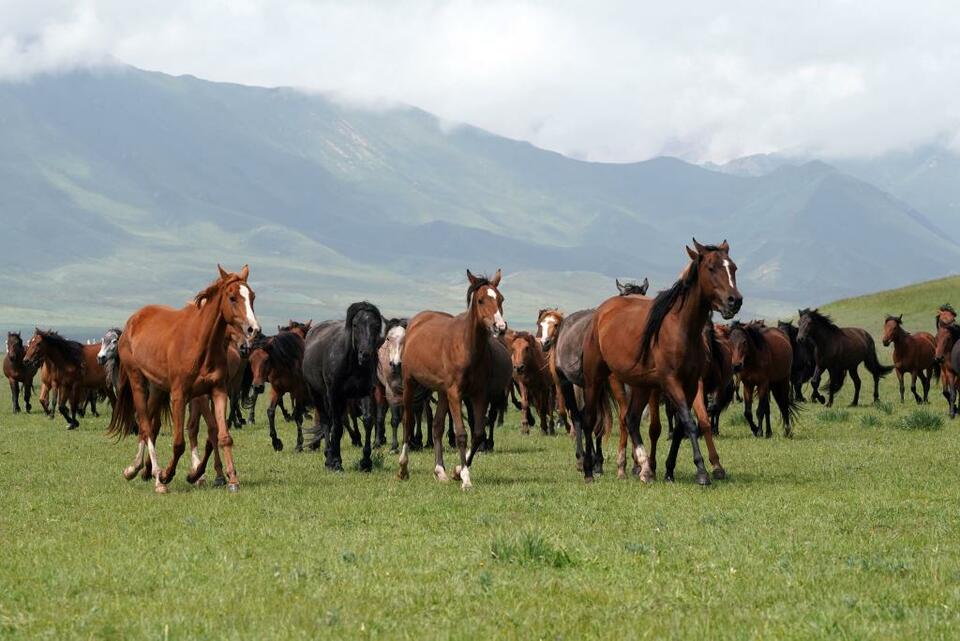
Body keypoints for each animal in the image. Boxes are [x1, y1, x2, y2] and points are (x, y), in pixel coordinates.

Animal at [106, 262, 258, 492]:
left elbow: (222, 435)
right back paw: (154, 477)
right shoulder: (180, 395)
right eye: (232, 297)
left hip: (158, 388)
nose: (253, 330)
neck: (200, 343)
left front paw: (231, 479)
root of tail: (132, 321)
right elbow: (179, 443)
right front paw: (168, 475)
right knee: (145, 425)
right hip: (138, 381)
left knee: (150, 426)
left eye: (252, 297)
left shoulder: (217, 391)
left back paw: (137, 469)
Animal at [306, 300, 384, 470]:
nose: (365, 355)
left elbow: (368, 421)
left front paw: (366, 461)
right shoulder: (334, 394)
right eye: (355, 324)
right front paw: (335, 462)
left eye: (375, 325)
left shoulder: (365, 392)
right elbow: (337, 426)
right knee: (326, 422)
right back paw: (329, 457)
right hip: (318, 395)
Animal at [396, 268, 506, 488]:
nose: (500, 326)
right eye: (481, 300)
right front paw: (465, 479)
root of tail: (416, 321)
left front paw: (457, 471)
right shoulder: (456, 393)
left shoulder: (479, 394)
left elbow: (478, 433)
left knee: (437, 426)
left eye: (501, 299)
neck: (466, 347)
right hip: (410, 383)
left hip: (442, 392)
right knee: (408, 421)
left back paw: (440, 470)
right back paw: (403, 468)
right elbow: (461, 433)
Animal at [576, 241, 744, 484]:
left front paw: (669, 470)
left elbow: (683, 426)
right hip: (595, 379)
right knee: (589, 419)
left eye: (733, 268)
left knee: (631, 419)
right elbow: (687, 422)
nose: (735, 300)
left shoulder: (691, 384)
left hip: (641, 385)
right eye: (711, 268)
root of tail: (600, 314)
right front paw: (701, 471)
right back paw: (590, 470)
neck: (681, 329)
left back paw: (644, 467)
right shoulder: (671, 381)